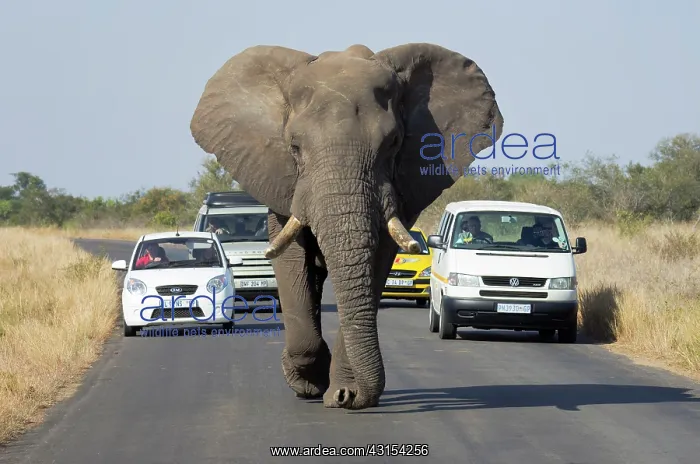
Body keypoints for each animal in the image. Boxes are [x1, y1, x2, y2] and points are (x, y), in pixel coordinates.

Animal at [189, 43, 503, 410]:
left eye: (393, 143)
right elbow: (292, 259)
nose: (354, 396)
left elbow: (377, 262)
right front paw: (309, 384)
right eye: (294, 147)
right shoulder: (282, 182)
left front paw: (345, 394)